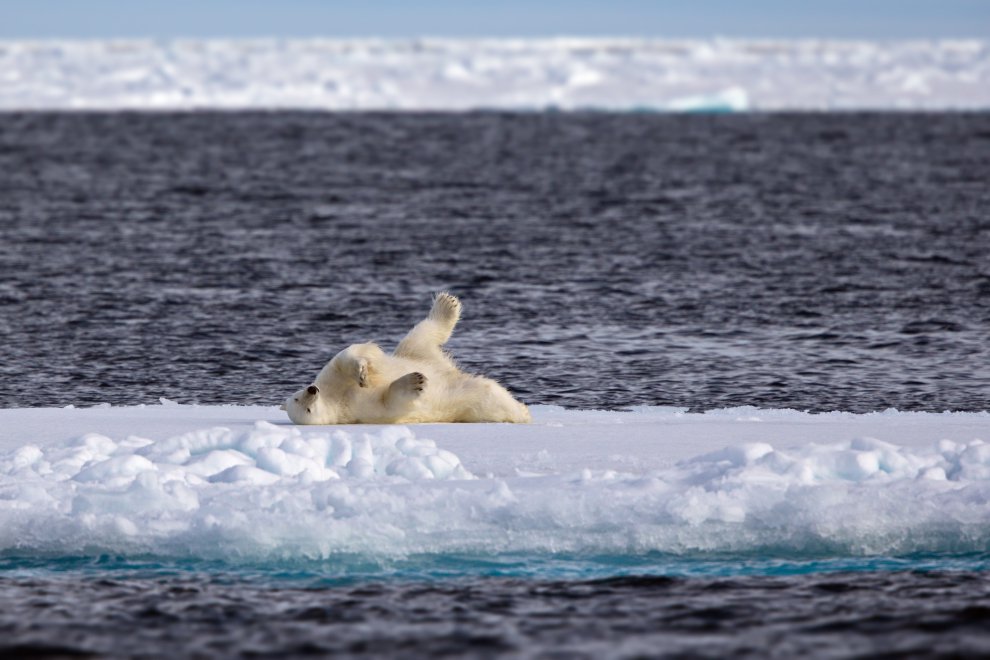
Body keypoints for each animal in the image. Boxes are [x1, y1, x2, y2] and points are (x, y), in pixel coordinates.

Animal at [282, 292, 532, 426]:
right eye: (306, 410)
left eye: (297, 397)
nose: (312, 390)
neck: (334, 396)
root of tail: (452, 373)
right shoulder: (359, 412)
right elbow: (390, 403)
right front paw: (416, 382)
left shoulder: (329, 376)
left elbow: (346, 357)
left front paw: (362, 373)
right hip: (468, 403)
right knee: (490, 401)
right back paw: (521, 411)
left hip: (417, 355)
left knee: (416, 338)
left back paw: (447, 304)